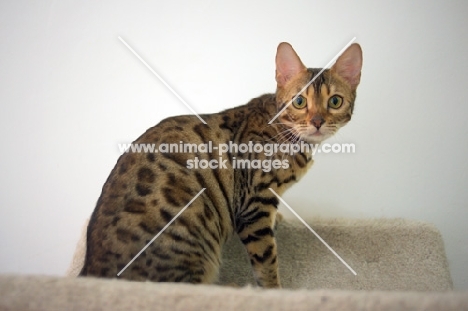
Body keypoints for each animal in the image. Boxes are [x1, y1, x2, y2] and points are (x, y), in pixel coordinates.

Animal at [79, 42, 362, 290]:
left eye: (335, 101)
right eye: (300, 102)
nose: (317, 122)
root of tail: (89, 269)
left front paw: (279, 219)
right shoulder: (254, 204)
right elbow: (266, 261)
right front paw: (275, 291)